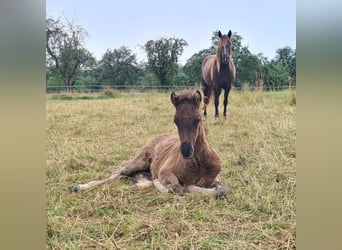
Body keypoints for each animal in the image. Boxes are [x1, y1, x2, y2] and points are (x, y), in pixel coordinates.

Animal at [71, 89, 227, 198]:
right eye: (175, 120)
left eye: (198, 119)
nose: (186, 151)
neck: (199, 164)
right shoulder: (165, 172)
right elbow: (178, 188)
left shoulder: (214, 179)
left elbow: (222, 190)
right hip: (138, 161)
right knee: (118, 173)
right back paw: (79, 187)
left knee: (134, 176)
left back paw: (138, 185)